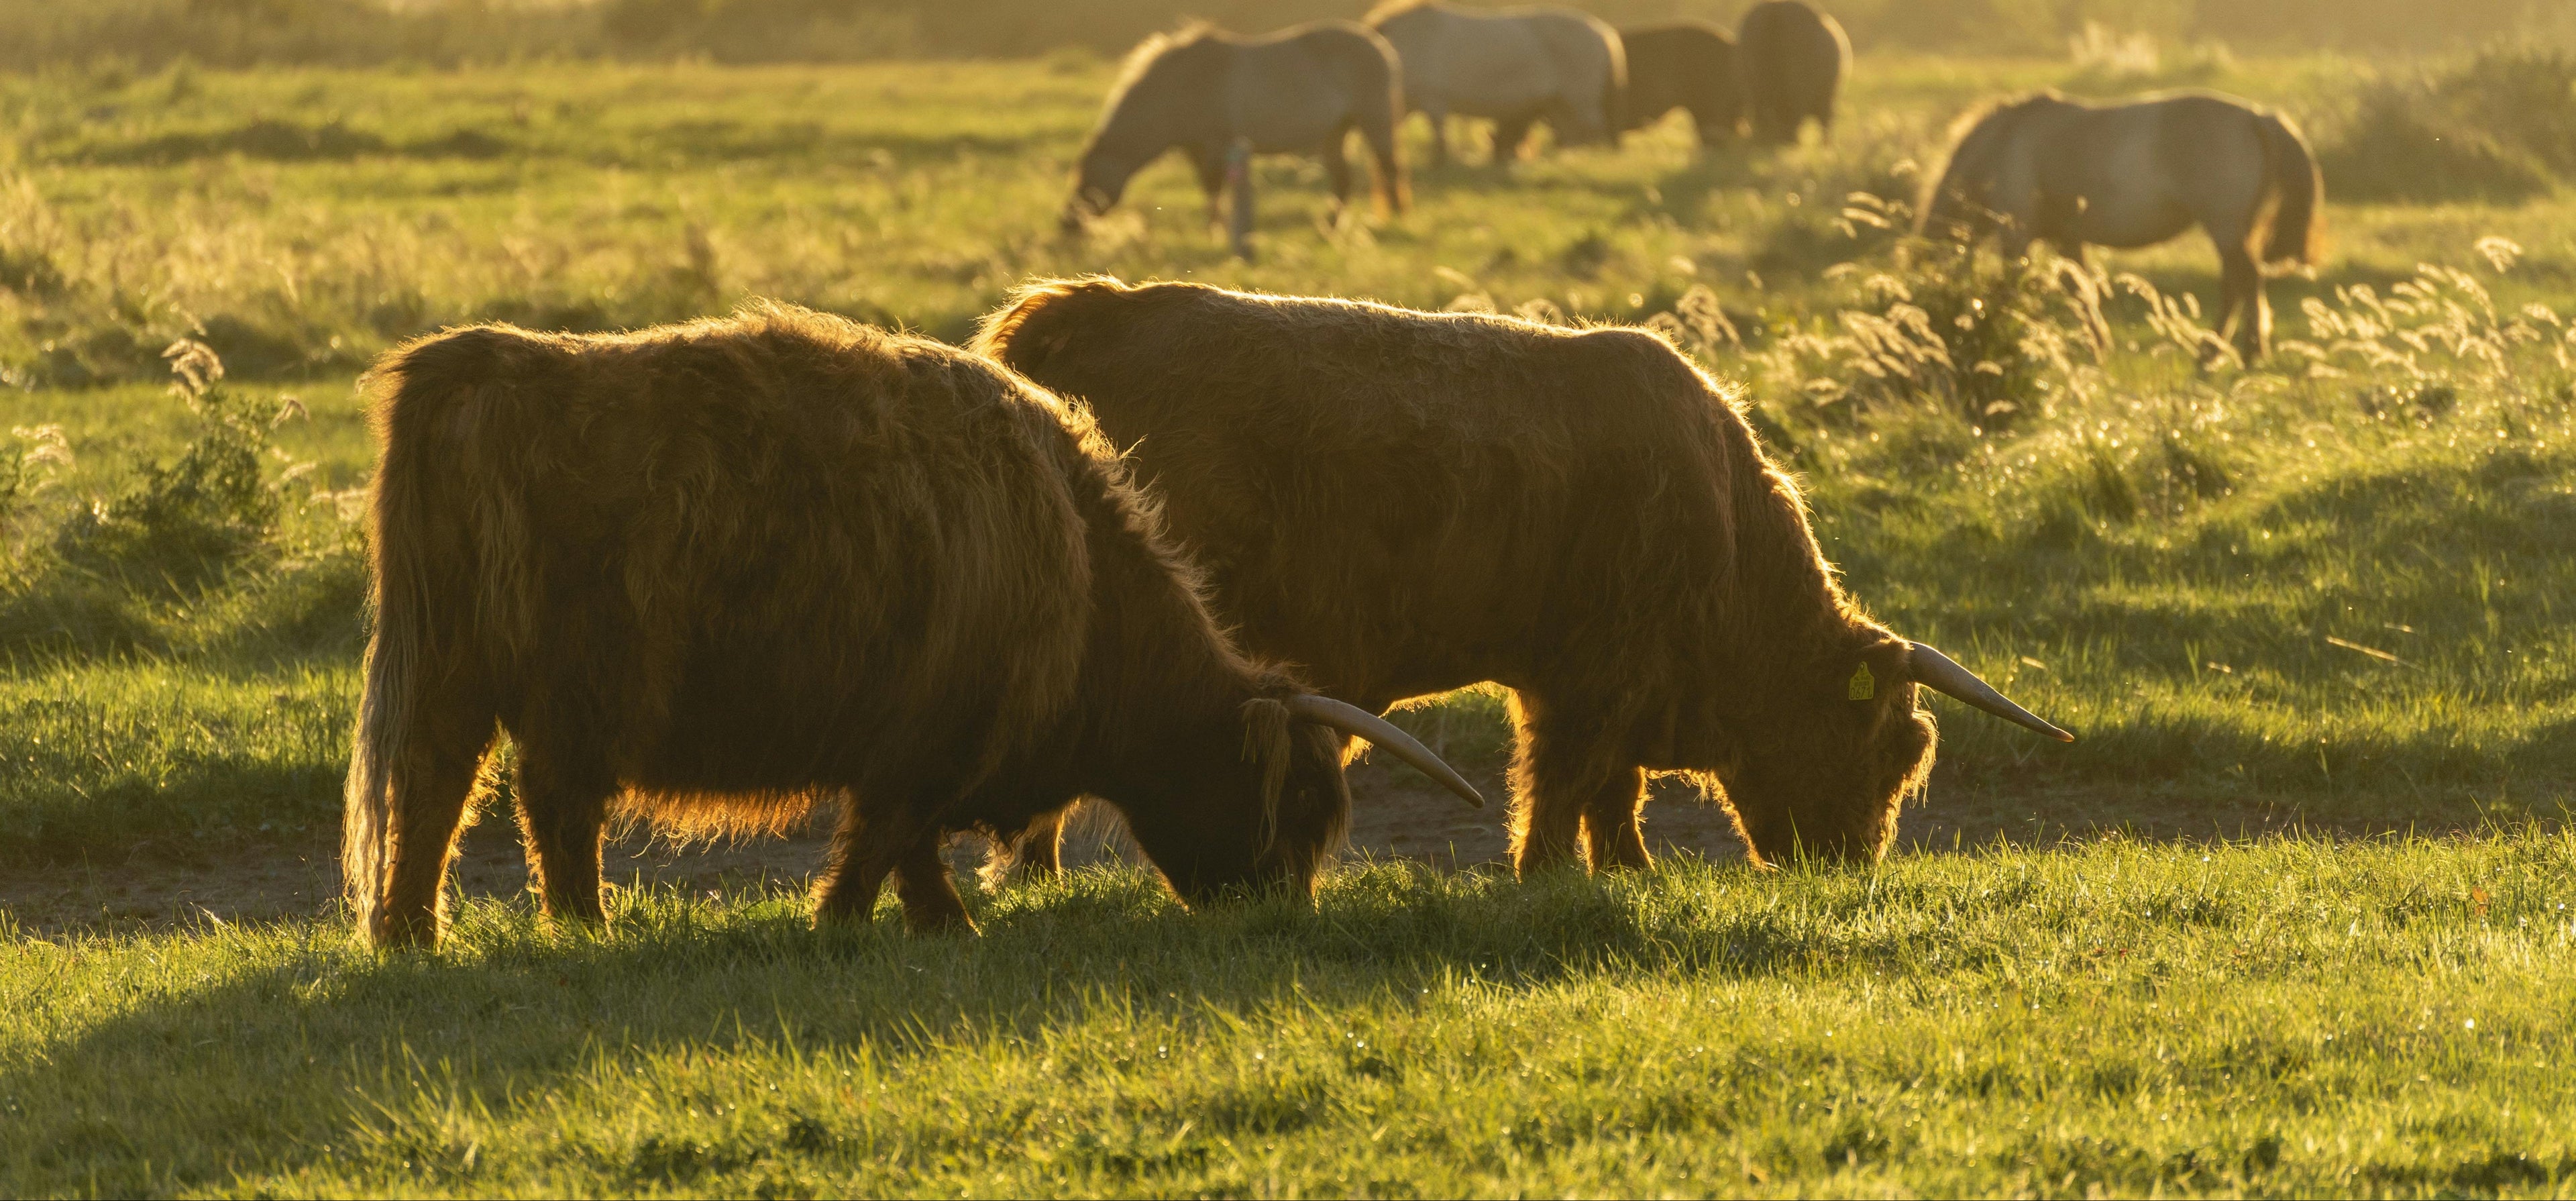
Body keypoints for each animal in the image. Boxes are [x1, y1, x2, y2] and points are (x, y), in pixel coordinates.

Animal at [342, 303, 1480, 950]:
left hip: (454, 669)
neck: (1078, 567)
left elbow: (903, 846)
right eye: (1293, 806)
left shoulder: (918, 746)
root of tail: (482, 365)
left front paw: (926, 924)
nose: (1284, 914)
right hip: (573, 682)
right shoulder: (926, 738)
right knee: (550, 804)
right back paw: (581, 928)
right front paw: (883, 924)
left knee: (439, 787)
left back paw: (411, 935)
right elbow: (887, 839)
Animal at [974, 279, 2069, 875]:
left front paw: (1630, 869)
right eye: (1889, 748)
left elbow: (1612, 793)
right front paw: (1545, 873)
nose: (1847, 864)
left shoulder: (1593, 685)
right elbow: (1565, 784)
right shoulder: (1589, 682)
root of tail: (1093, 311)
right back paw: (1034, 871)